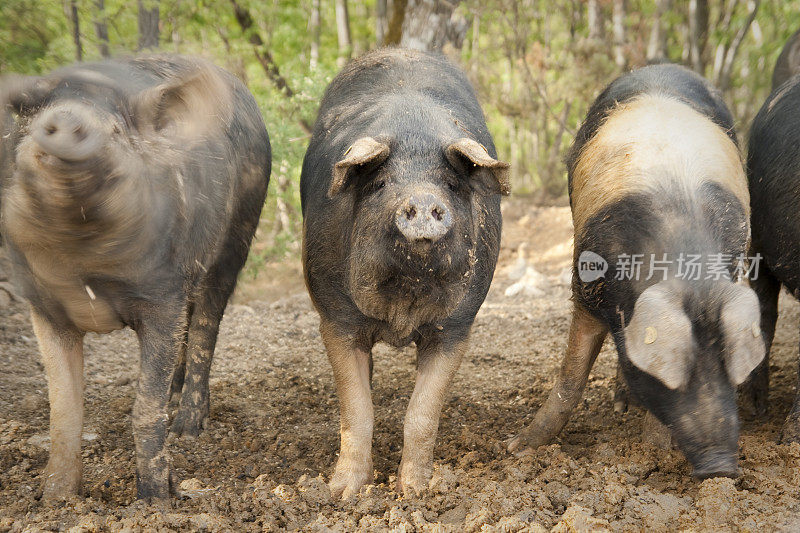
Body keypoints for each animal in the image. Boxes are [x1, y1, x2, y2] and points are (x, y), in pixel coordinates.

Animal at [0, 56, 272, 500]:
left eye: (115, 131)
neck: (84, 262)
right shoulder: (41, 303)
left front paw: (155, 499)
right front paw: (54, 498)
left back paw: (188, 428)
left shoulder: (163, 295)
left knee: (205, 326)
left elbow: (146, 405)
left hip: (236, 240)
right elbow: (63, 407)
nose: (68, 118)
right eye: (37, 122)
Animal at [304, 48, 510, 498]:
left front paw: (417, 492)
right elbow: (356, 411)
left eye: (450, 184)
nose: (423, 200)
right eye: (380, 184)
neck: (404, 302)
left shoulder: (457, 325)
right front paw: (342, 494)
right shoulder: (335, 317)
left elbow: (422, 414)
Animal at [510, 64, 764, 480]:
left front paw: (653, 452)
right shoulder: (585, 287)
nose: (722, 468)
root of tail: (664, 66)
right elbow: (571, 377)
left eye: (729, 363)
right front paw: (516, 449)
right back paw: (618, 406)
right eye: (680, 367)